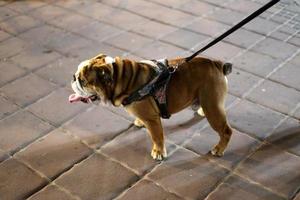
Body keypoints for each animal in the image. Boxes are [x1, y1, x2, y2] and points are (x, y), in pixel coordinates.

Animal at [69, 54, 233, 160]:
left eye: (83, 81)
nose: (73, 77)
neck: (123, 79)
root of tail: (216, 64)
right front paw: (139, 121)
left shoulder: (152, 119)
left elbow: (157, 137)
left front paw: (158, 152)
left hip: (213, 109)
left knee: (226, 131)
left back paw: (219, 149)